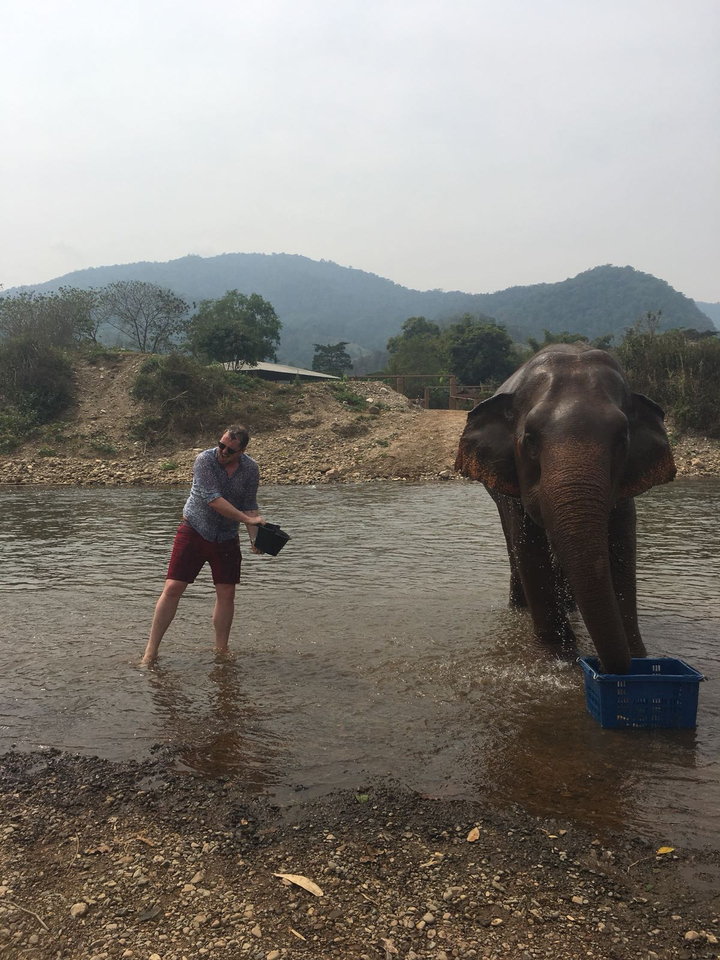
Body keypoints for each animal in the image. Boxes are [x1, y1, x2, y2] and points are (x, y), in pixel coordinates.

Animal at [454, 343, 676, 674]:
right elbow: (530, 547)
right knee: (513, 545)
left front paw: (640, 658)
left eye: (621, 440)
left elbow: (621, 547)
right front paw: (555, 659)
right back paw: (520, 606)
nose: (612, 670)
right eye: (530, 440)